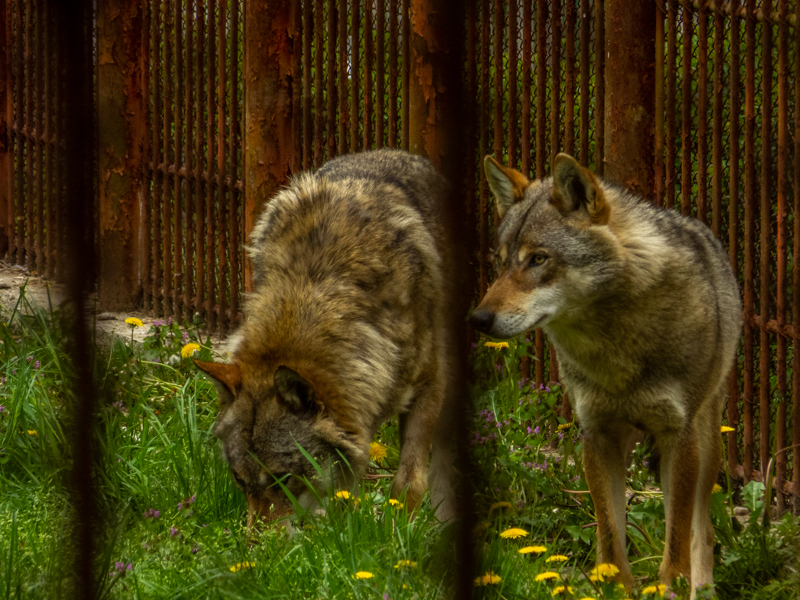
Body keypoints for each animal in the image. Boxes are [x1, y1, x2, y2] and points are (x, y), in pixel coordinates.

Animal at [195, 149, 456, 527]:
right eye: (239, 480)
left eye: (283, 479)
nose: (256, 542)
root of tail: (394, 152)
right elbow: (343, 492)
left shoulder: (428, 386)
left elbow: (408, 482)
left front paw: (397, 532)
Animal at [472, 153, 742, 597]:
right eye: (500, 260)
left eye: (538, 259)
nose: (478, 319)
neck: (617, 352)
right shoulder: (597, 435)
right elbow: (611, 539)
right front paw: (617, 588)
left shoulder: (678, 437)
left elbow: (676, 542)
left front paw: (668, 589)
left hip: (707, 445)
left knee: (702, 530)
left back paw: (702, 588)